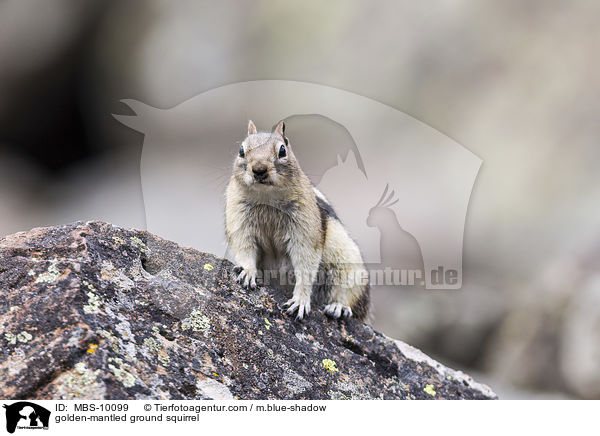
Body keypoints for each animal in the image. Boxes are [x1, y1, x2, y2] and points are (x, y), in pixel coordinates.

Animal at [224, 120, 368, 320]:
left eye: (282, 150)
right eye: (241, 150)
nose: (259, 170)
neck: (267, 199)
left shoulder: (305, 227)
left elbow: (305, 262)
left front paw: (300, 300)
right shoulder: (239, 218)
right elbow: (244, 247)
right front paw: (247, 272)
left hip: (350, 267)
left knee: (349, 294)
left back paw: (338, 307)